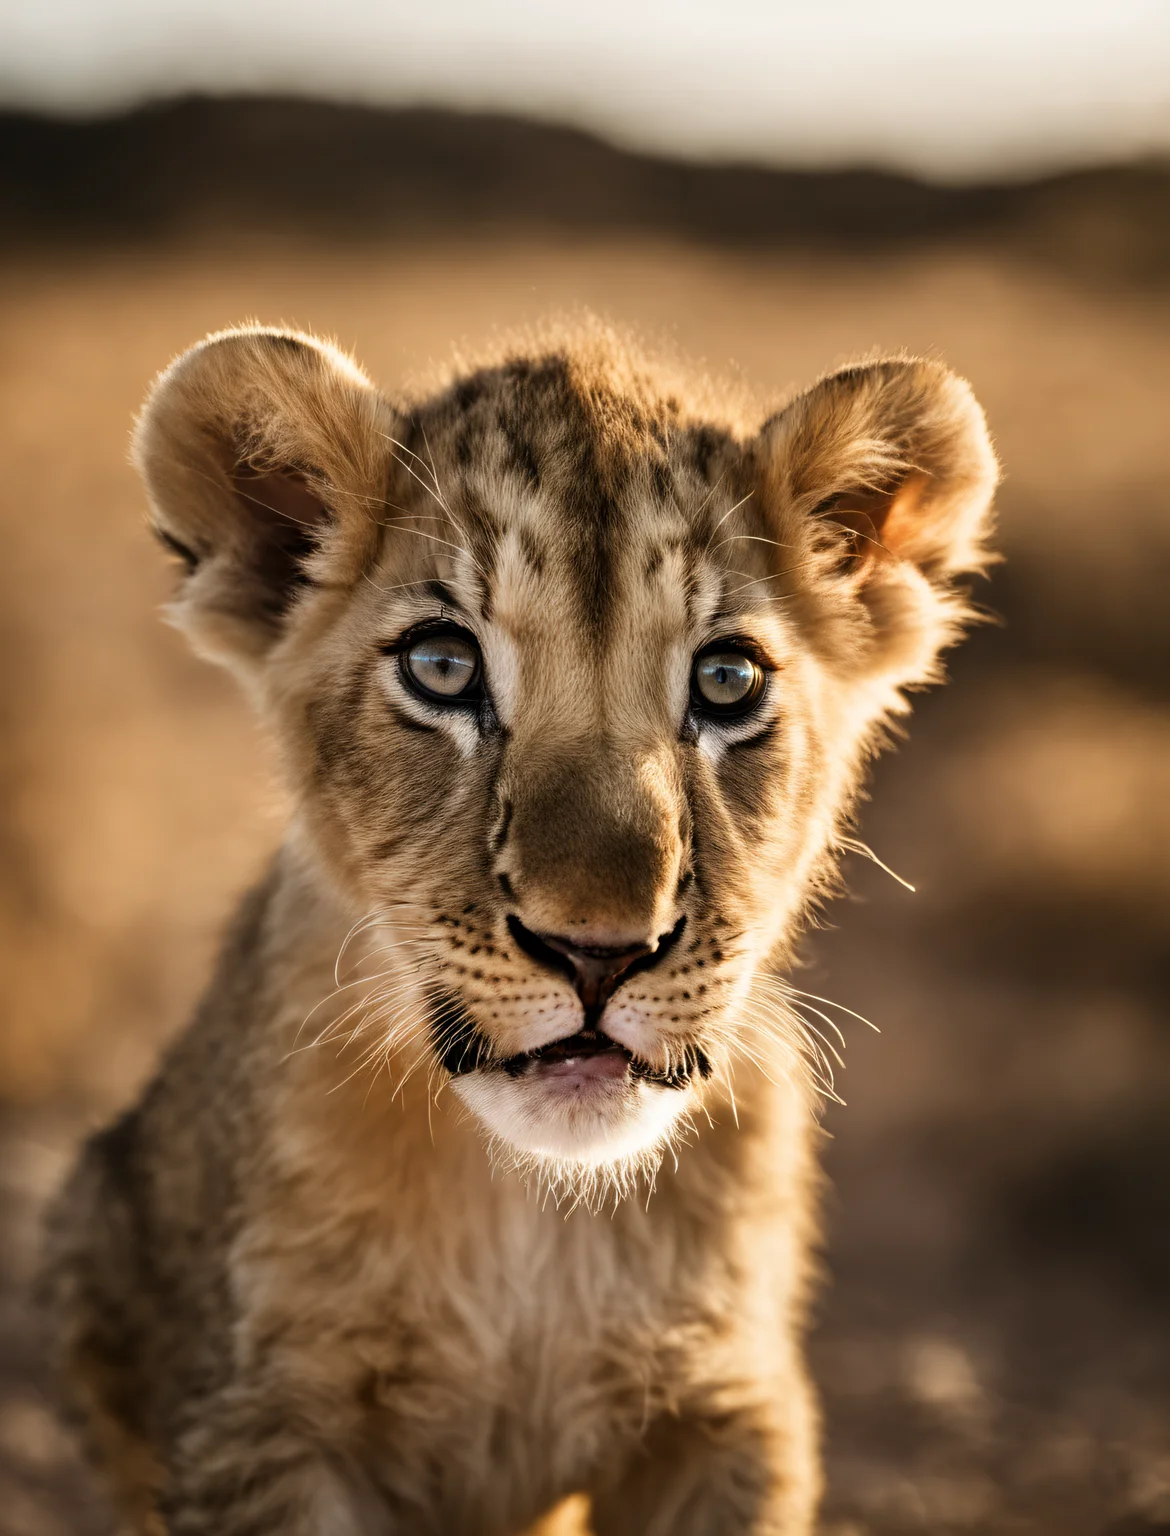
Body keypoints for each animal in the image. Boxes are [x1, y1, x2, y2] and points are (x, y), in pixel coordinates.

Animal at [40, 321, 997, 1534]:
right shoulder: (262, 1417)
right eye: (442, 667)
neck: (531, 1224)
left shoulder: (729, 1410)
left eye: (728, 680)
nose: (599, 950)